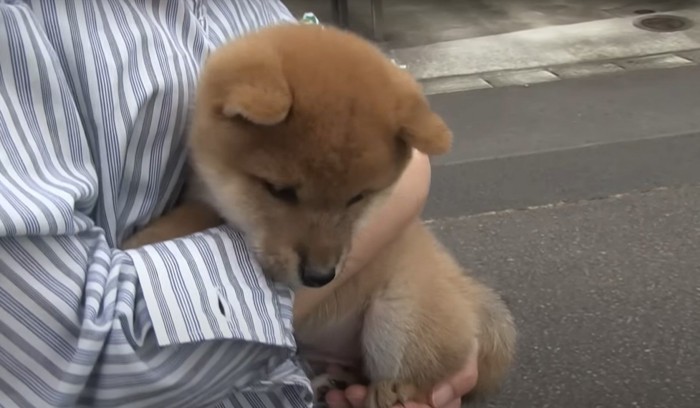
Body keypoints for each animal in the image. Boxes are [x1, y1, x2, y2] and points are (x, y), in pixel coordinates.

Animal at [123, 23, 516, 408]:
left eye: (358, 197)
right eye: (280, 190)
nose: (319, 276)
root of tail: (467, 292)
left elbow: (188, 221)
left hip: (398, 318)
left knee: (410, 378)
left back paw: (381, 391)